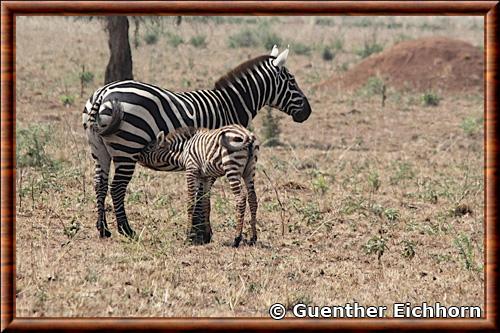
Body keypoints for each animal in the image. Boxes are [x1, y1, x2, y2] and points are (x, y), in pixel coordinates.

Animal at [82, 46, 310, 243]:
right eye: (292, 81)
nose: (307, 112)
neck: (230, 104)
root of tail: (104, 91)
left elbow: (202, 195)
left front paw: (200, 233)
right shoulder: (211, 157)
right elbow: (203, 195)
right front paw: (200, 234)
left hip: (99, 149)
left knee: (99, 184)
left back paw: (103, 229)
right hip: (128, 148)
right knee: (117, 187)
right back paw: (126, 230)